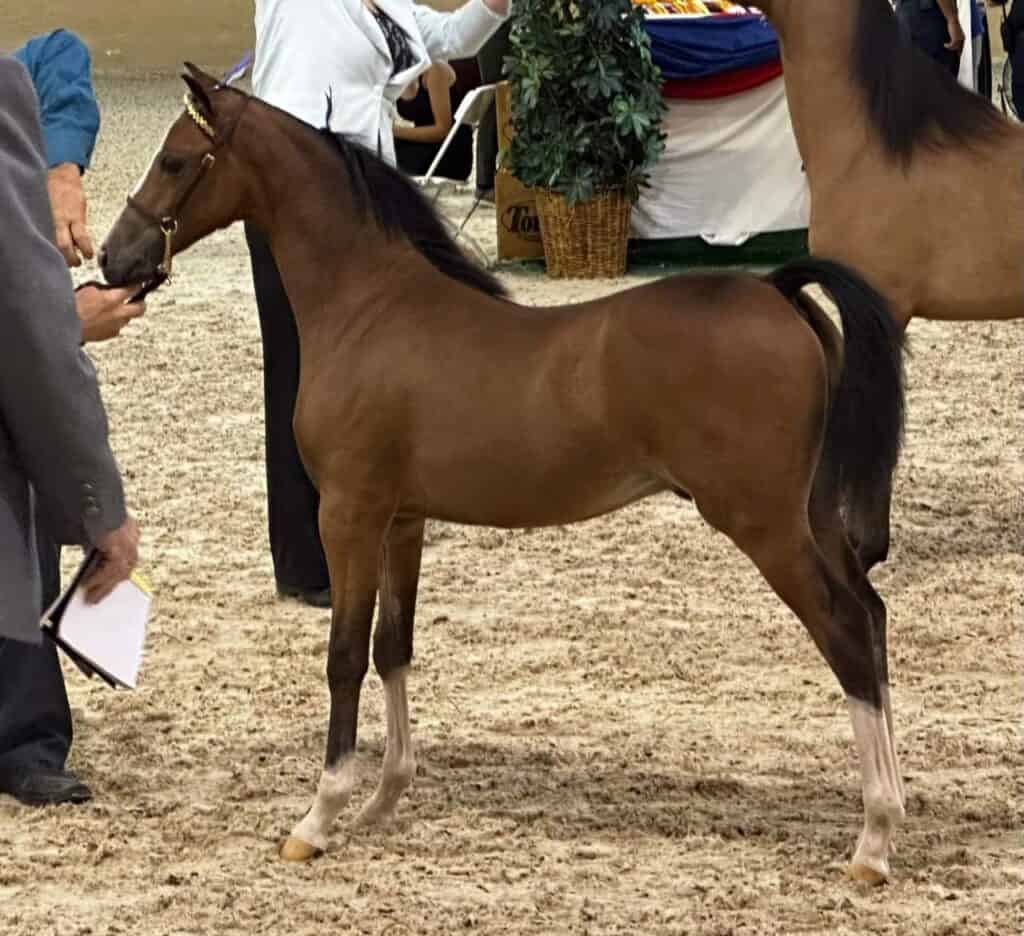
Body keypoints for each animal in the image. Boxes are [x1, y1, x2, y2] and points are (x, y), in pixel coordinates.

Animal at [100, 65, 907, 884]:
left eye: (175, 161)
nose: (111, 258)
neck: (369, 308)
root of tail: (776, 288)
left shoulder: (349, 514)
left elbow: (345, 656)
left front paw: (319, 817)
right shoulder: (402, 520)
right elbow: (394, 647)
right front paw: (383, 801)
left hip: (765, 525)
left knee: (845, 632)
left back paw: (873, 840)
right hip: (811, 517)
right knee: (871, 618)